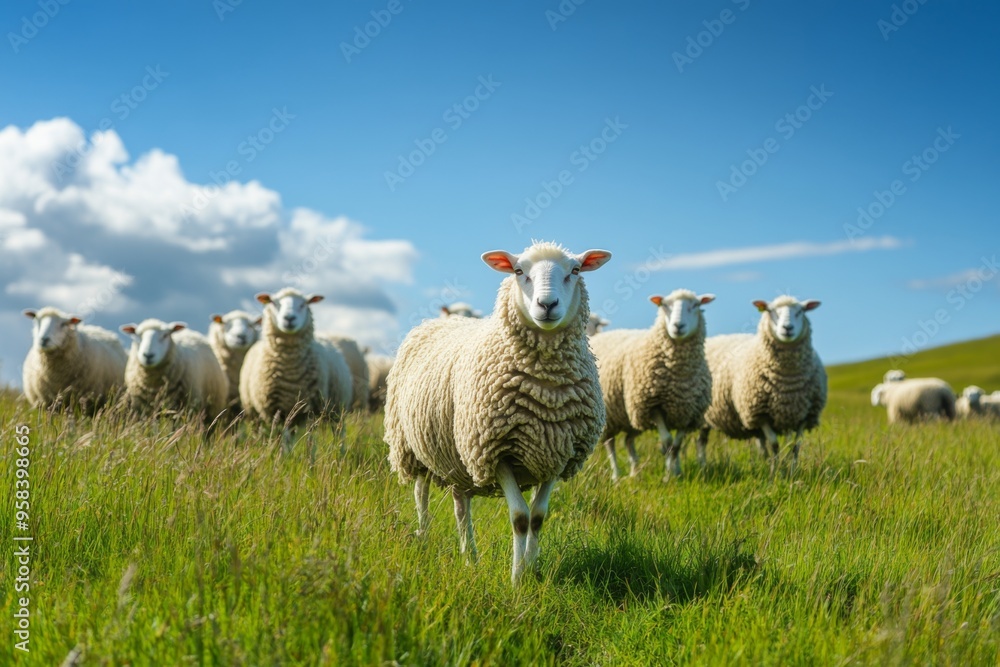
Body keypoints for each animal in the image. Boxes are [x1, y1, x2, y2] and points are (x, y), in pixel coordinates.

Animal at [238, 288, 352, 428]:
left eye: (303, 304)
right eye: (274, 303)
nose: (289, 318)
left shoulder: (308, 409)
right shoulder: (271, 410)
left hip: (335, 411)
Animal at [385, 241, 612, 584]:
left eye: (574, 270)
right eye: (519, 271)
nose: (547, 304)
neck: (545, 390)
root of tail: (435, 322)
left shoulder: (559, 453)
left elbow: (538, 517)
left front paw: (533, 571)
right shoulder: (497, 450)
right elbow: (519, 517)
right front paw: (517, 580)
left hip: (458, 457)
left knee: (461, 506)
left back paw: (470, 558)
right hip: (411, 446)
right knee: (420, 493)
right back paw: (424, 538)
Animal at [590, 289, 714, 482]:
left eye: (695, 305)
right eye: (665, 305)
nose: (678, 326)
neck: (678, 373)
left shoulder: (688, 412)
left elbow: (676, 445)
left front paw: (676, 472)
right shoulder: (653, 405)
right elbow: (668, 441)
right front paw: (668, 477)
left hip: (630, 418)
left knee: (628, 441)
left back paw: (635, 473)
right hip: (609, 416)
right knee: (610, 444)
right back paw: (616, 476)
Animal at [696, 296, 827, 477]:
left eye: (800, 311)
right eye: (771, 311)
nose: (787, 328)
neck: (787, 380)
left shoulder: (805, 415)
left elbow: (795, 446)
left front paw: (792, 471)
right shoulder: (760, 413)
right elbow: (774, 444)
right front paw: (777, 472)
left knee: (761, 444)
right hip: (704, 417)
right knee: (701, 441)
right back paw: (703, 466)